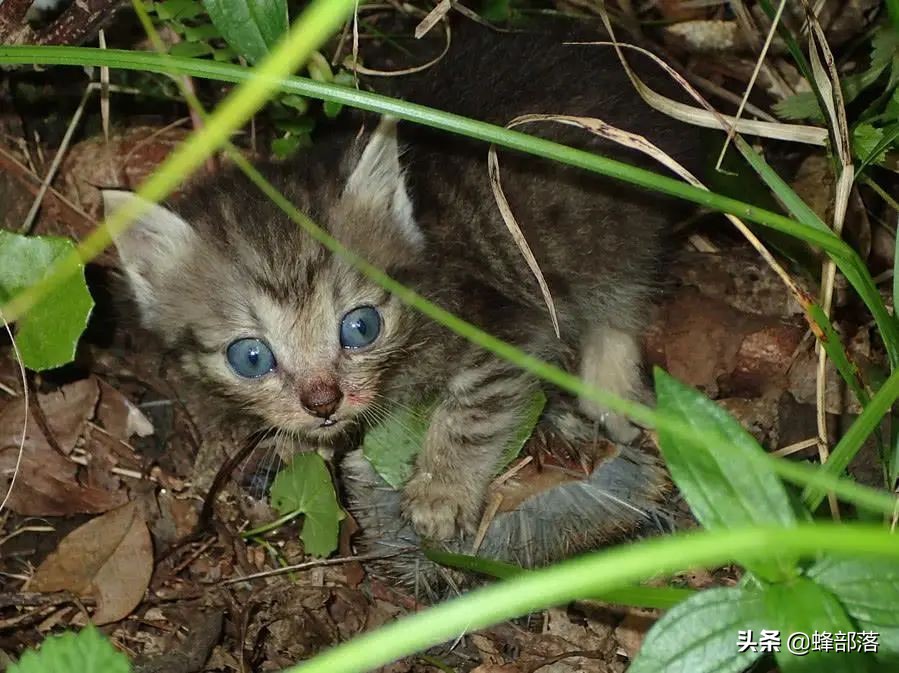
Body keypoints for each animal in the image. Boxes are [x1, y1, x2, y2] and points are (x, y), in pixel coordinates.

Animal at [105, 21, 708, 540]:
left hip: (615, 227)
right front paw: (299, 442)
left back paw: (611, 393)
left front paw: (440, 492)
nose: (322, 403)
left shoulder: (506, 324)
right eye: (250, 357)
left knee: (622, 301)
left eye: (361, 327)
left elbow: (473, 410)